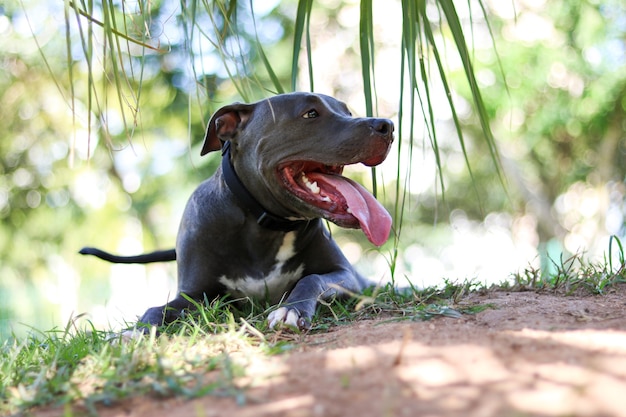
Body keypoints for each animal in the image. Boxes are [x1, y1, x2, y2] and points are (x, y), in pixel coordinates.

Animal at [80, 92, 392, 330]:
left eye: (347, 111)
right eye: (311, 114)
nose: (387, 124)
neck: (266, 225)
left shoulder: (344, 274)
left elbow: (311, 279)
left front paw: (291, 310)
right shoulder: (194, 295)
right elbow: (157, 309)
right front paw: (135, 331)